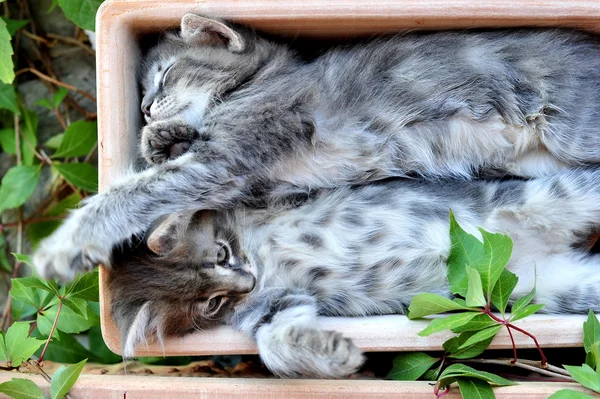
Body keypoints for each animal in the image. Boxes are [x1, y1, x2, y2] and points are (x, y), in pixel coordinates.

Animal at [34, 14, 600, 282]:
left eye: (165, 75)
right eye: (141, 91)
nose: (147, 109)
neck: (260, 82)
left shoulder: (230, 160)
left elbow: (135, 193)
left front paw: (66, 246)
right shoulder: (255, 181)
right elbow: (174, 189)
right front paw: (161, 145)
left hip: (575, 132)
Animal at [110, 170, 600, 380]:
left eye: (222, 253)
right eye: (211, 304)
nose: (246, 283)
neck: (259, 261)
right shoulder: (270, 308)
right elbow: (275, 343)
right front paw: (333, 354)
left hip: (550, 195)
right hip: (551, 287)